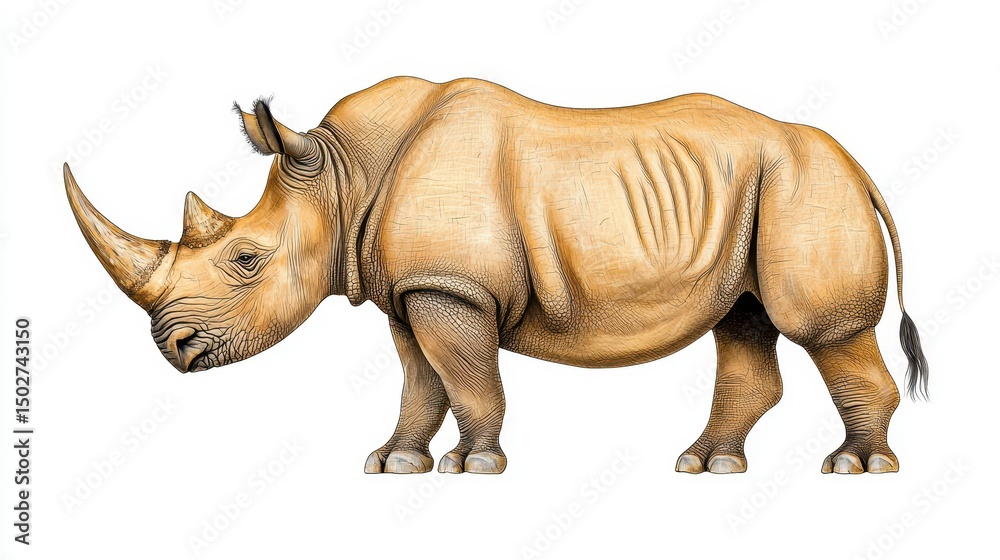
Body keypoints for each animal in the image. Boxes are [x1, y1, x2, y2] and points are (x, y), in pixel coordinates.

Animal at [65, 77, 928, 475]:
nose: (173, 349)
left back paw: (856, 470)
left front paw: (472, 467)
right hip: (758, 192)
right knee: (743, 319)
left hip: (805, 187)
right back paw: (704, 467)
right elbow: (421, 381)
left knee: (822, 330)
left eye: (245, 260)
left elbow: (468, 377)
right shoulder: (409, 291)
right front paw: (394, 464)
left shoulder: (453, 288)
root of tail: (860, 166)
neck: (341, 177)